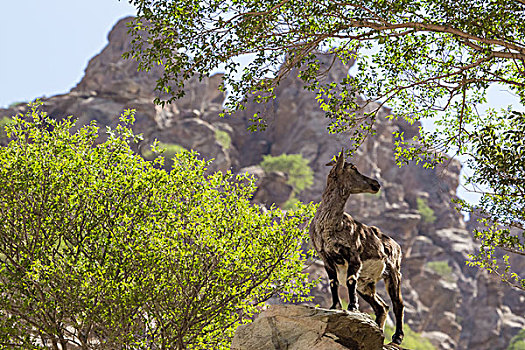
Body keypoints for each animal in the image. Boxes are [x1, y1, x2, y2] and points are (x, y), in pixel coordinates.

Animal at [310, 150, 404, 344]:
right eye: (353, 167)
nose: (376, 184)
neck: (330, 224)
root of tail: (396, 246)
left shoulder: (353, 255)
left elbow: (349, 280)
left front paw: (352, 307)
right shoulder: (326, 257)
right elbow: (333, 282)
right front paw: (335, 306)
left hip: (393, 273)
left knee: (398, 303)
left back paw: (397, 337)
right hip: (366, 284)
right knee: (381, 307)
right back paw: (379, 332)